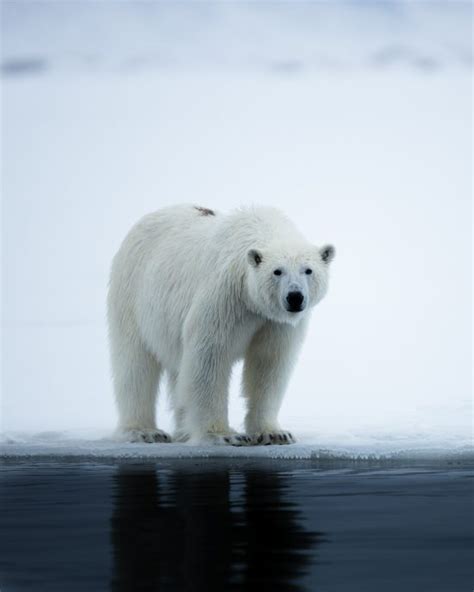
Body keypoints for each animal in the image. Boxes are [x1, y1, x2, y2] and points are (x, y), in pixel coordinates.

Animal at [109, 206, 336, 446]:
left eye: (308, 270)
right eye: (277, 271)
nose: (295, 297)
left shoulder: (274, 323)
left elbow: (269, 364)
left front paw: (275, 433)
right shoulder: (226, 296)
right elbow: (209, 357)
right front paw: (222, 435)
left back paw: (183, 431)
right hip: (132, 293)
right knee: (134, 363)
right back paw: (144, 431)